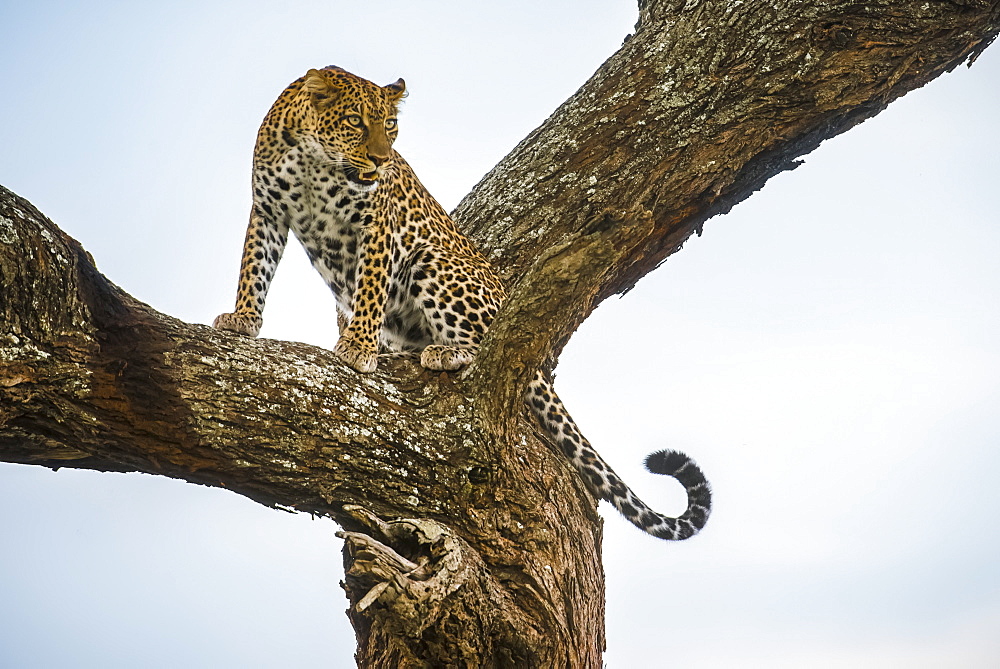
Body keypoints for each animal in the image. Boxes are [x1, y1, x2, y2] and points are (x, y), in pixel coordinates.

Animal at [213, 65, 712, 540]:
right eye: (355, 121)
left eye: (390, 125)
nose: (381, 159)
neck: (315, 159)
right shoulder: (268, 210)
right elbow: (253, 267)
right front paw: (243, 318)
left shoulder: (378, 223)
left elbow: (370, 287)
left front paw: (357, 347)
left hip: (433, 261)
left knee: (492, 348)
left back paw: (446, 352)